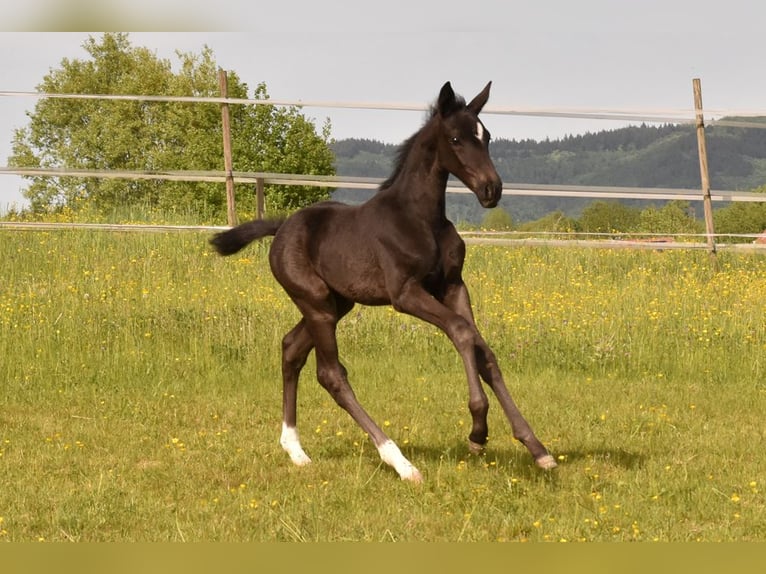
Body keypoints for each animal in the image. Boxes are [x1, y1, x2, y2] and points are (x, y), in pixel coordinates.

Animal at [210, 82, 556, 482]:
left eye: (487, 137)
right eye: (455, 139)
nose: (491, 190)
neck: (421, 219)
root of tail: (281, 227)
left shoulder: (454, 286)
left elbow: (482, 350)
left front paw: (536, 448)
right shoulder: (405, 293)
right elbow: (461, 332)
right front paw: (477, 430)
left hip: (336, 304)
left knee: (291, 348)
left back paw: (295, 450)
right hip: (316, 304)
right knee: (331, 374)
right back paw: (401, 463)